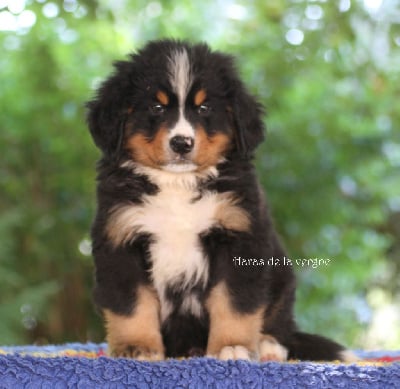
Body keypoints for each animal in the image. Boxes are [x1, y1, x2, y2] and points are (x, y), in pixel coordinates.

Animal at [86, 39, 354, 360]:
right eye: (156, 106)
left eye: (204, 108)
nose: (182, 143)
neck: (177, 185)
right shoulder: (121, 238)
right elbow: (132, 303)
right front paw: (136, 346)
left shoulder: (239, 238)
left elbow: (233, 301)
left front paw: (232, 346)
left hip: (282, 279)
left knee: (281, 326)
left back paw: (268, 346)